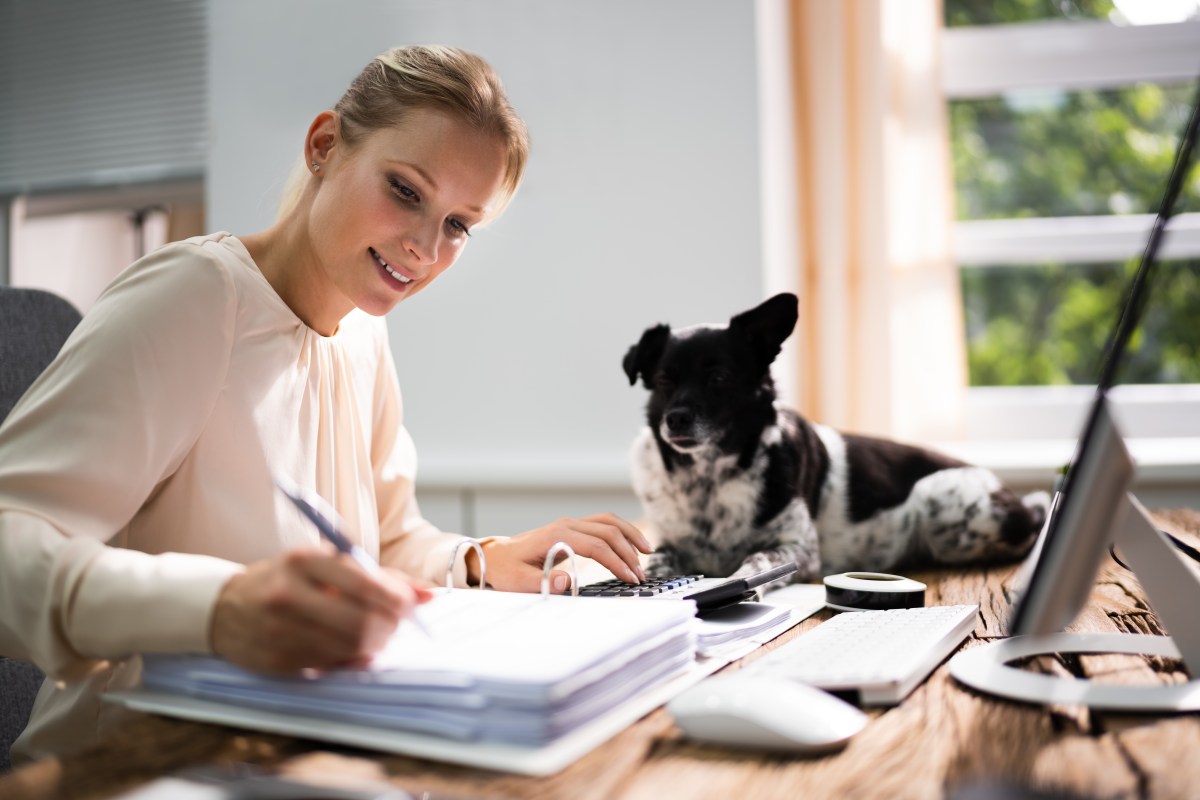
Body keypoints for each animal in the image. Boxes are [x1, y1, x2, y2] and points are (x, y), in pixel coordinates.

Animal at [624, 293, 1046, 587]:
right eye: (663, 379)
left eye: (718, 378)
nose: (675, 418)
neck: (708, 481)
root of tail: (1010, 494)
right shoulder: (668, 543)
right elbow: (656, 563)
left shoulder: (800, 550)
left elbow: (755, 562)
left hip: (943, 503)